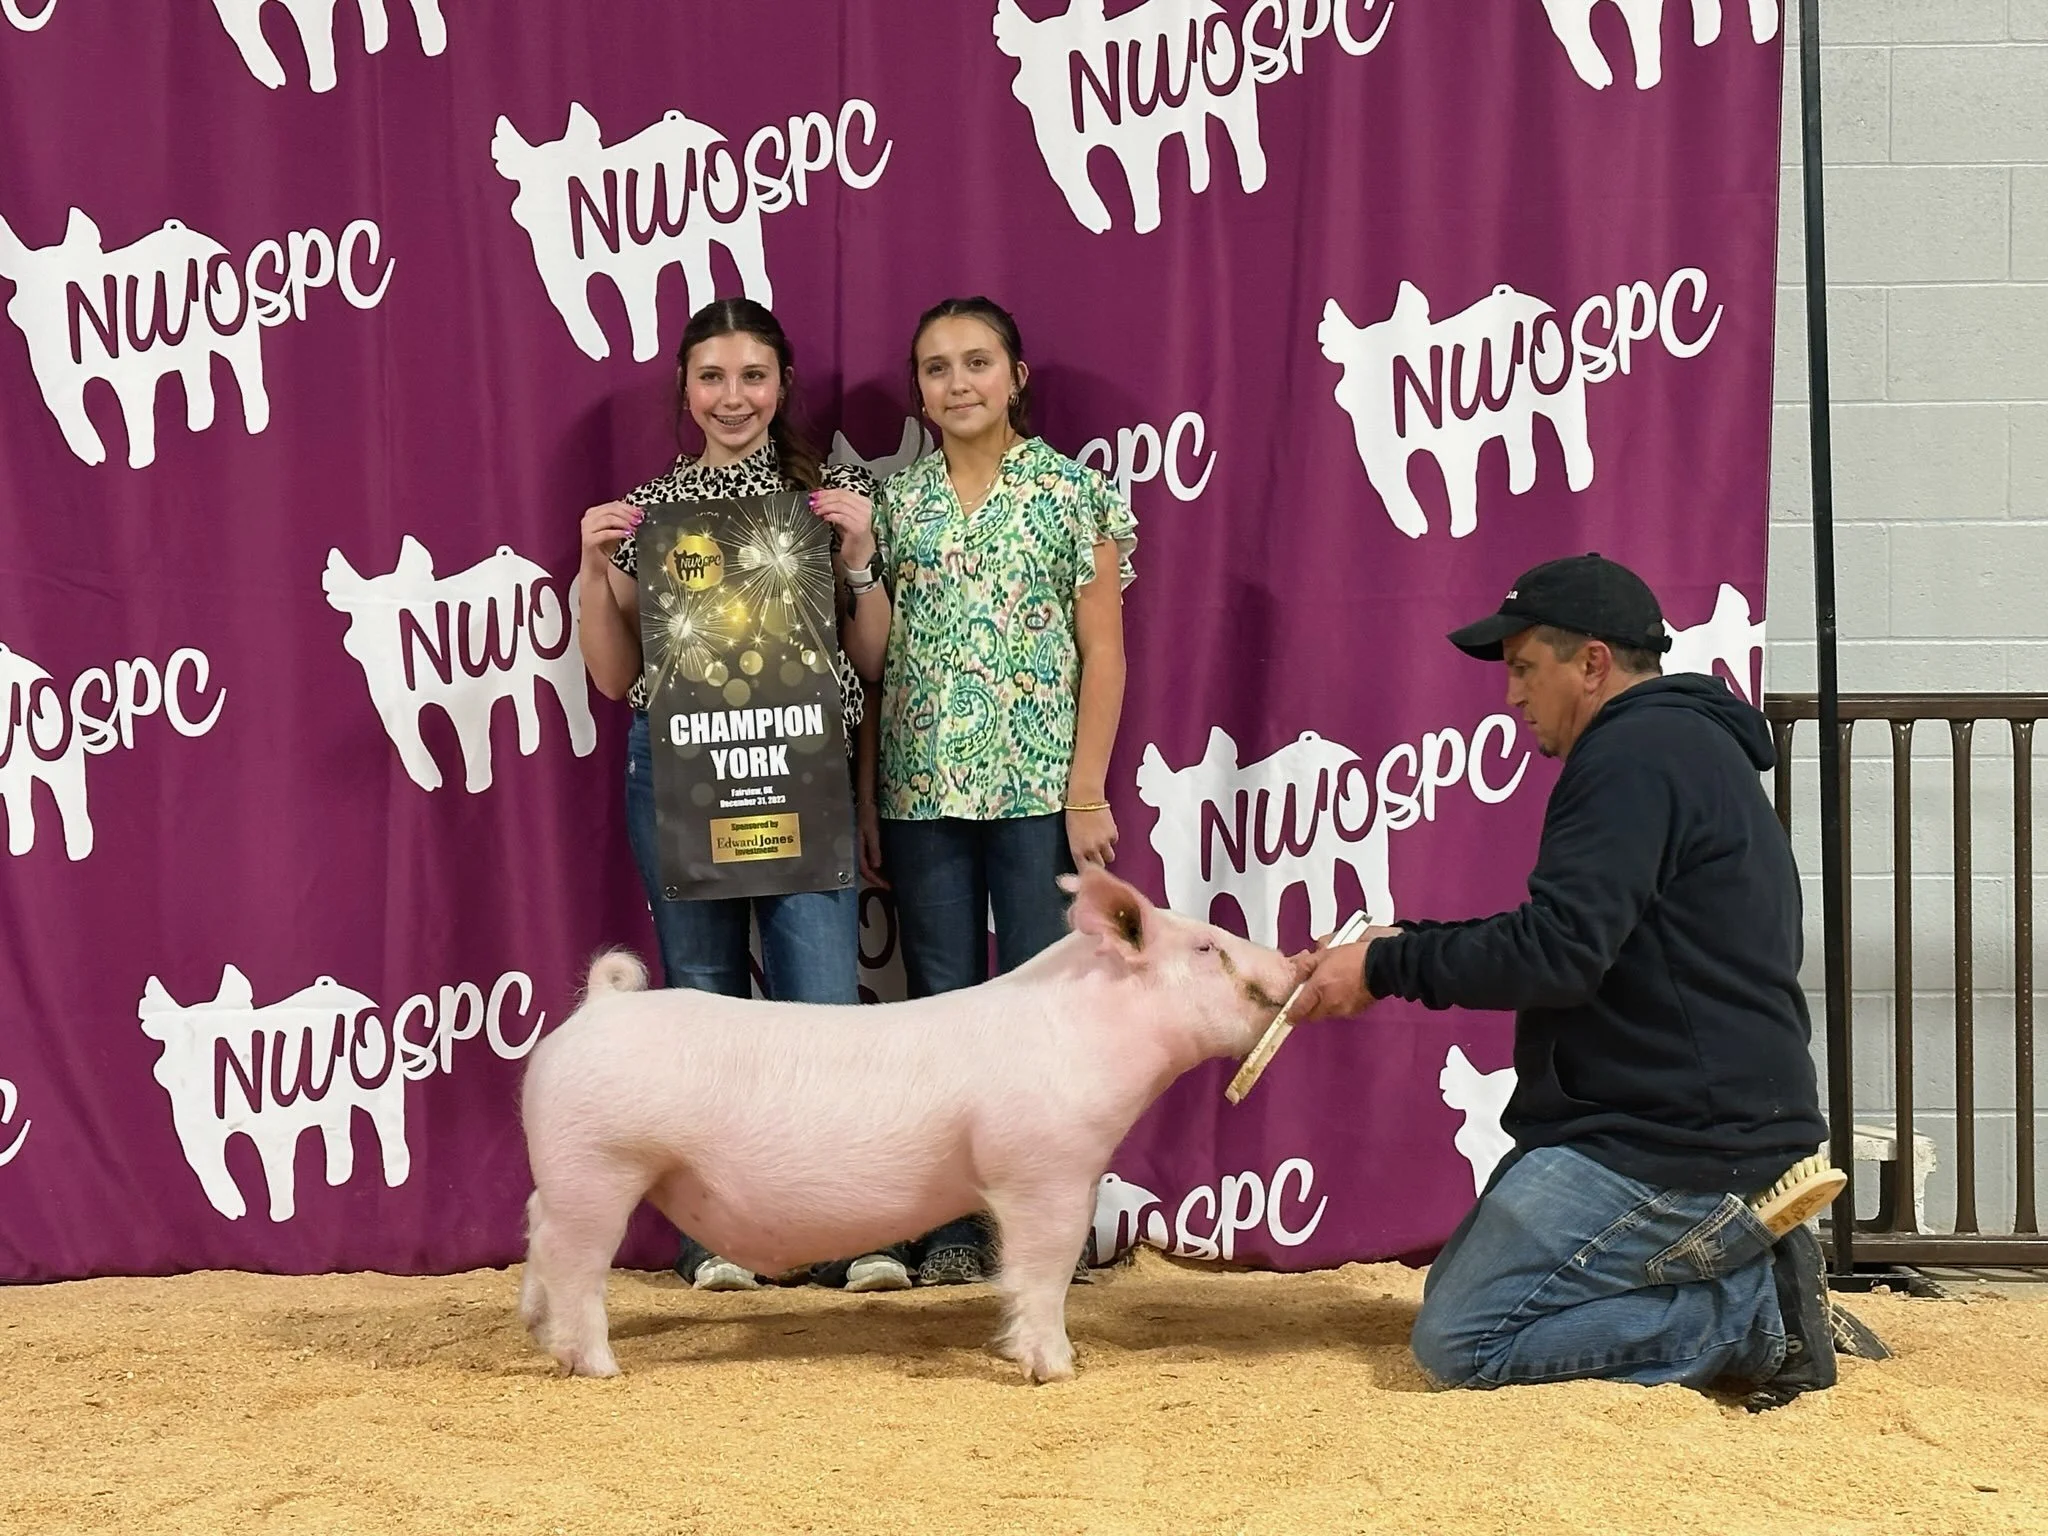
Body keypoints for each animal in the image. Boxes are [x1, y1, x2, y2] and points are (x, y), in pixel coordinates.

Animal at [518, 866, 1300, 1383]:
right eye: (1206, 947)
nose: (1292, 962)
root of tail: (599, 1008)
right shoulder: (1042, 1168)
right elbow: (1041, 1269)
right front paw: (1058, 1370)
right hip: (600, 1163)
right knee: (573, 1259)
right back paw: (599, 1367)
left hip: (569, 1171)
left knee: (535, 1226)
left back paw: (535, 1327)